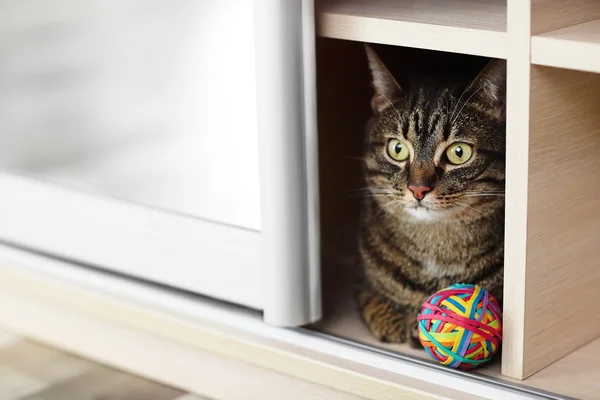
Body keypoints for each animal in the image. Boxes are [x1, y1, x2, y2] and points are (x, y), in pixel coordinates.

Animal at [356, 46, 506, 346]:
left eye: (459, 153)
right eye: (397, 149)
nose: (418, 189)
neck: (437, 248)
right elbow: (374, 298)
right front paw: (394, 320)